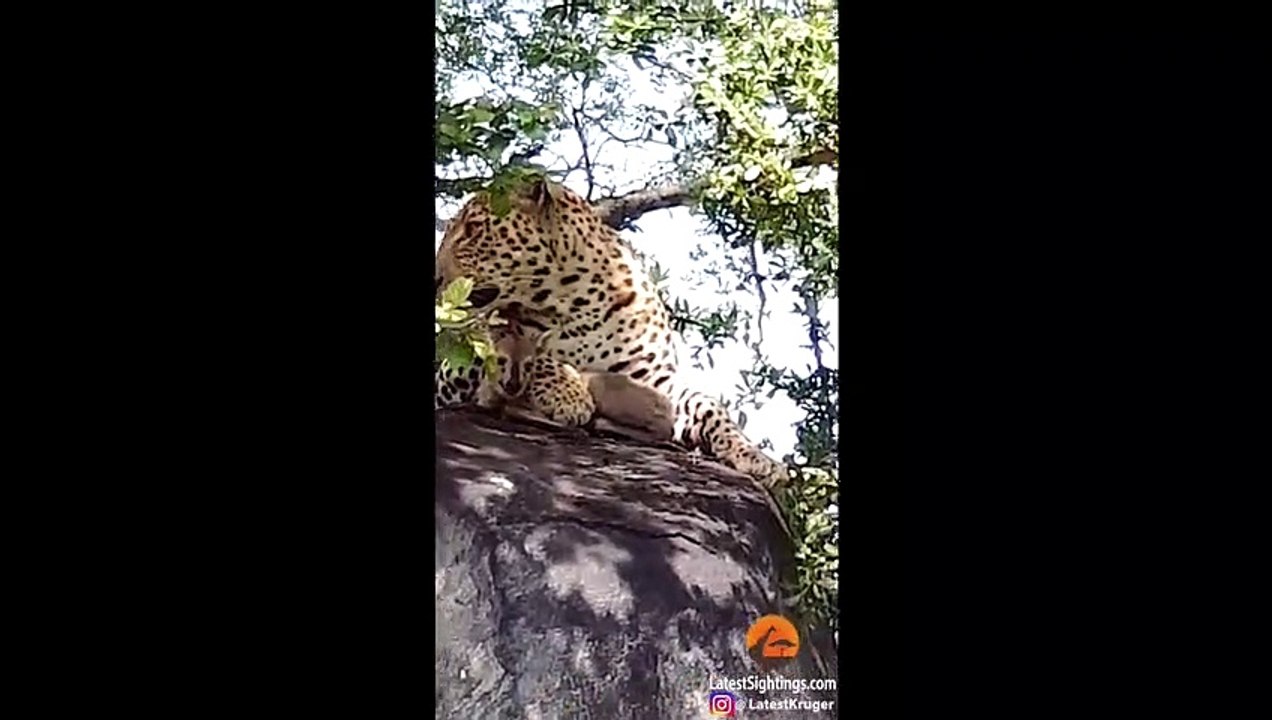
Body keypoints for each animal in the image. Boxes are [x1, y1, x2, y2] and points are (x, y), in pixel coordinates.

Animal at [434, 178, 789, 488]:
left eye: (473, 229)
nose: (435, 278)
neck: (573, 299)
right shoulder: (456, 364)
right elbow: (532, 351)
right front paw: (568, 395)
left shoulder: (655, 382)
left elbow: (710, 407)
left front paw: (756, 457)